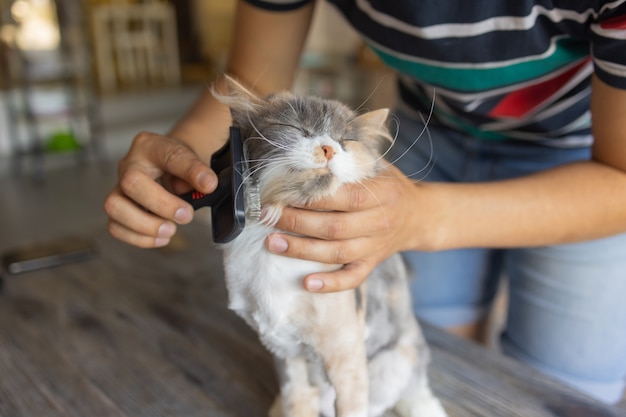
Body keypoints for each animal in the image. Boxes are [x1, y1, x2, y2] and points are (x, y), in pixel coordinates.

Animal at [213, 76, 444, 416]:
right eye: (296, 129)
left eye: (344, 140)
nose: (328, 148)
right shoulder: (285, 353)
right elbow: (297, 403)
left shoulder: (346, 358)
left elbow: (351, 408)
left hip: (394, 362)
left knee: (411, 393)